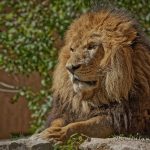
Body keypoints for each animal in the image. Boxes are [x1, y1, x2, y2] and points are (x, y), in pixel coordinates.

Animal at [37, 7, 149, 142]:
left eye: (91, 47)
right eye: (72, 49)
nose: (70, 68)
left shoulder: (122, 119)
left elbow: (82, 125)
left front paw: (58, 133)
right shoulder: (66, 110)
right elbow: (57, 121)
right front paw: (49, 130)